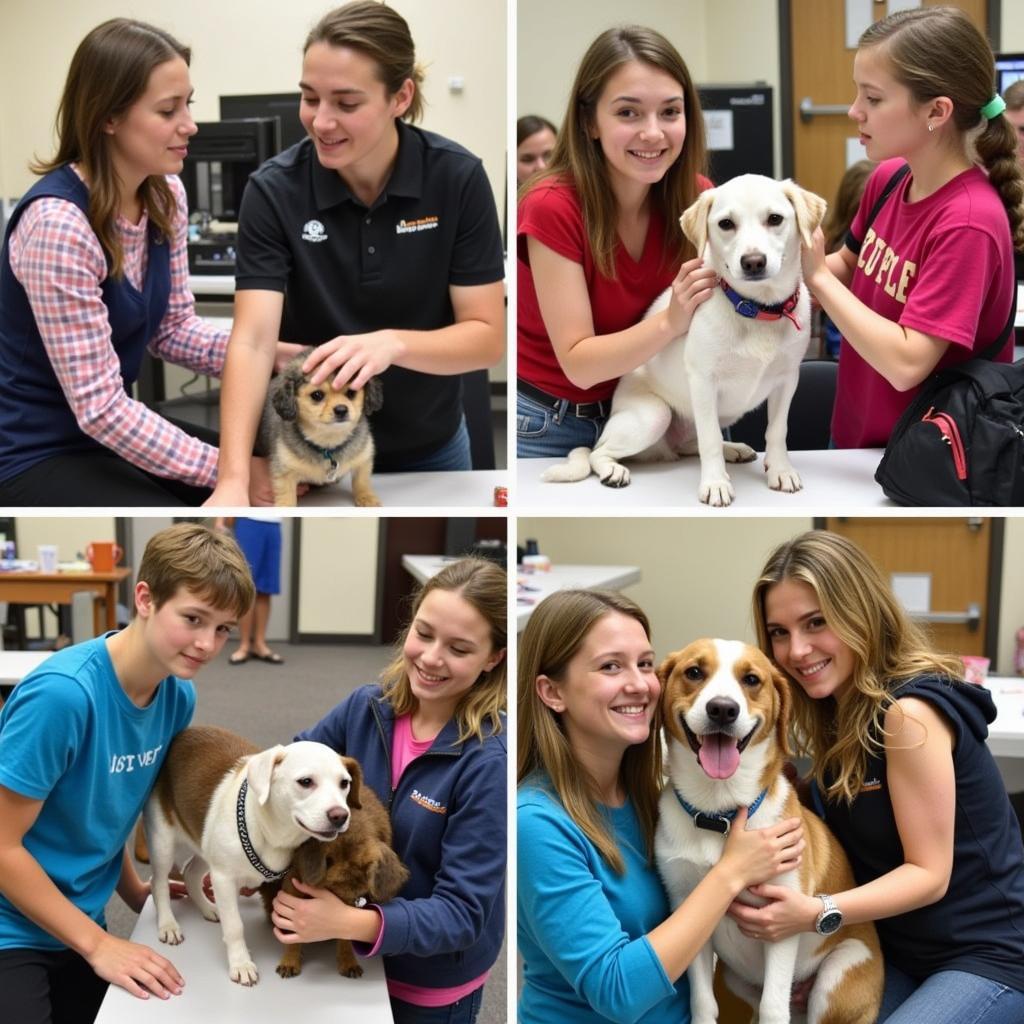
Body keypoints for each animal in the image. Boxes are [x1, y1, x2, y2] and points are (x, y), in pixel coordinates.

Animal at [144, 724, 360, 987]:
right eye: (306, 782)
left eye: (344, 783)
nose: (340, 816)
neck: (272, 834)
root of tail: (182, 734)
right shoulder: (224, 879)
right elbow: (235, 926)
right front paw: (241, 963)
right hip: (163, 843)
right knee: (158, 882)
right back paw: (168, 924)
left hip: (206, 846)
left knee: (191, 875)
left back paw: (208, 908)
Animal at [258, 350, 382, 509]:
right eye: (317, 395)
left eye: (351, 392)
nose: (341, 410)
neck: (328, 444)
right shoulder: (284, 471)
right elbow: (286, 496)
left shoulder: (363, 458)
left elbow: (361, 481)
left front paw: (366, 497)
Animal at [262, 765, 409, 978]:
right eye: (328, 862)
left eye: (366, 870)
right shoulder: (293, 886)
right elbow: (292, 936)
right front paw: (289, 961)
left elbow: (345, 937)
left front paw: (348, 962)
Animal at [544, 179, 823, 507]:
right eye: (726, 224)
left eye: (775, 219)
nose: (753, 262)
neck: (756, 309)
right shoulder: (703, 381)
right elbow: (710, 440)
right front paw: (715, 484)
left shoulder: (787, 380)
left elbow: (777, 431)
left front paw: (780, 470)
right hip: (654, 416)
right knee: (597, 452)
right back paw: (613, 470)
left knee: (692, 443)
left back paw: (733, 449)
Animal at [655, 638, 880, 1024]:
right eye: (694, 672)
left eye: (751, 679)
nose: (722, 710)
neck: (721, 812)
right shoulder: (688, 908)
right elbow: (703, 1003)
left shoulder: (782, 917)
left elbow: (773, 1008)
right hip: (734, 977)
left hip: (837, 974)